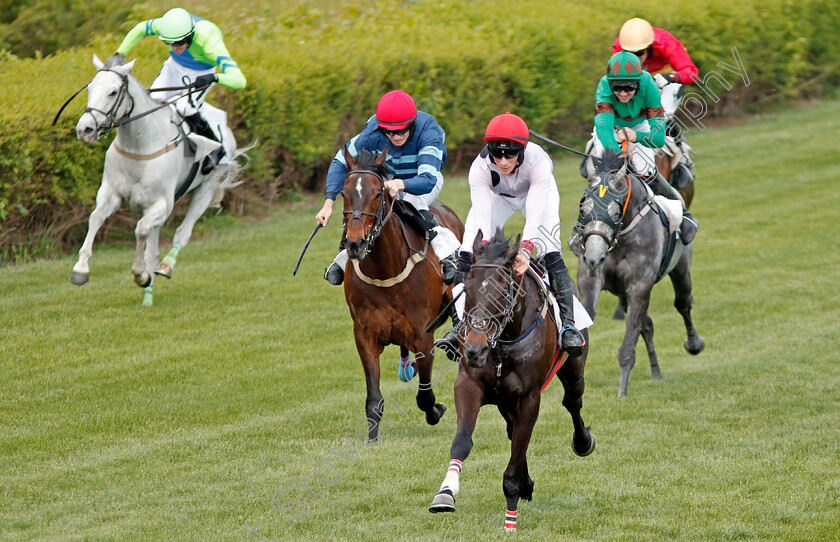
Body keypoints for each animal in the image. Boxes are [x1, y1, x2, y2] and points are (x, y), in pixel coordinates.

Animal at [72, 55, 248, 306]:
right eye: (90, 88)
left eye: (113, 92)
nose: (85, 129)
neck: (140, 145)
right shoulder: (111, 194)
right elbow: (95, 218)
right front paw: (80, 269)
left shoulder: (161, 205)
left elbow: (141, 230)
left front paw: (140, 275)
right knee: (153, 249)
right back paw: (148, 297)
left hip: (207, 189)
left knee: (182, 233)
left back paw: (165, 267)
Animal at [338, 149, 462, 442]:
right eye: (343, 193)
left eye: (377, 194)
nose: (355, 243)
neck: (386, 270)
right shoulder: (364, 335)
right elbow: (373, 398)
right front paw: (371, 438)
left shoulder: (423, 336)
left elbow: (425, 396)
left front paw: (436, 411)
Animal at [426, 232, 596, 532]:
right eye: (467, 288)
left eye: (504, 292)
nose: (475, 348)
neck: (503, 344)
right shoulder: (468, 384)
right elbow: (463, 441)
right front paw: (445, 492)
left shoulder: (529, 398)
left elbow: (518, 450)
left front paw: (510, 517)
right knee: (513, 429)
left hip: (573, 370)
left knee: (572, 402)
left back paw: (582, 441)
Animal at [576, 149, 704, 400]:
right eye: (584, 209)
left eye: (616, 211)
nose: (594, 258)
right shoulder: (591, 281)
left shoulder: (639, 287)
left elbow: (628, 344)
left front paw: (622, 391)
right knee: (648, 326)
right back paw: (656, 371)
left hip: (681, 269)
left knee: (683, 304)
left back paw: (694, 343)